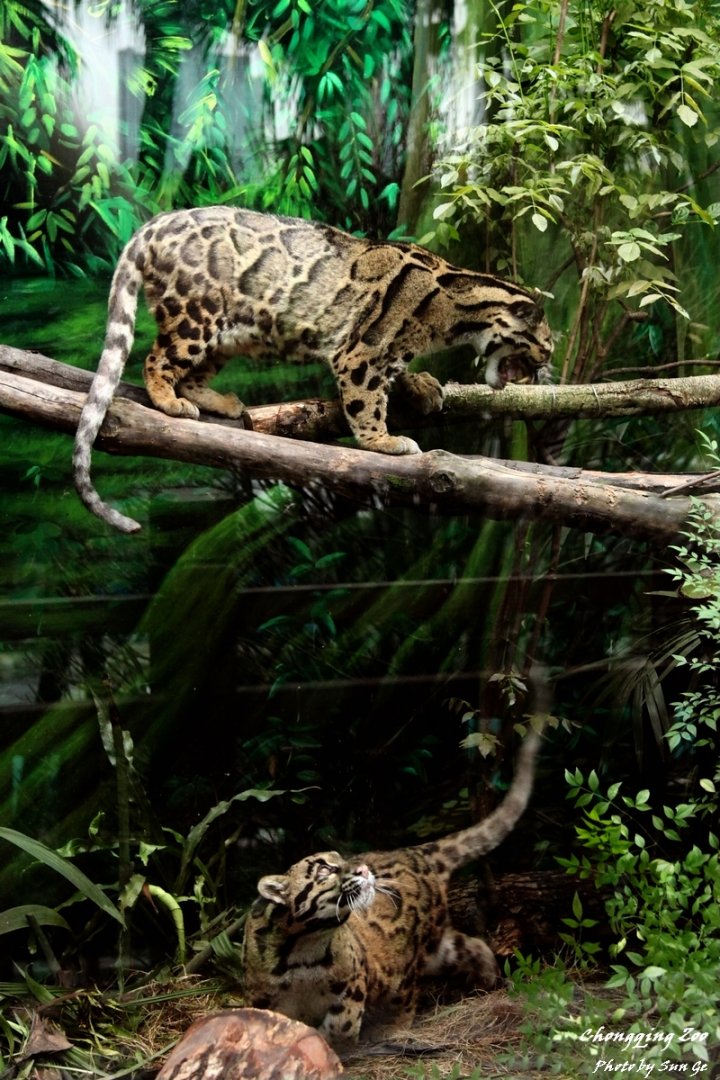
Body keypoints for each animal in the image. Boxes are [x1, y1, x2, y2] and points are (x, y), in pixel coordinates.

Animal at [73, 207, 553, 533]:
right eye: (544, 346)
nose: (544, 368)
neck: (456, 307)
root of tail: (154, 225)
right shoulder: (360, 351)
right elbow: (366, 401)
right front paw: (382, 441)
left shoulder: (387, 350)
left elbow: (397, 376)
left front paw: (421, 385)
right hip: (194, 315)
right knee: (156, 359)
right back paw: (168, 400)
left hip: (225, 334)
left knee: (192, 373)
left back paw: (218, 401)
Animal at [241, 726, 542, 1051]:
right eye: (325, 868)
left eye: (341, 859)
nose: (363, 870)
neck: (305, 950)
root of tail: (417, 852)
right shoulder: (261, 994)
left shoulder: (353, 984)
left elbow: (342, 1024)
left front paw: (335, 1045)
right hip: (438, 946)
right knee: (474, 945)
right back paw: (488, 979)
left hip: (406, 967)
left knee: (408, 997)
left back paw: (394, 1030)